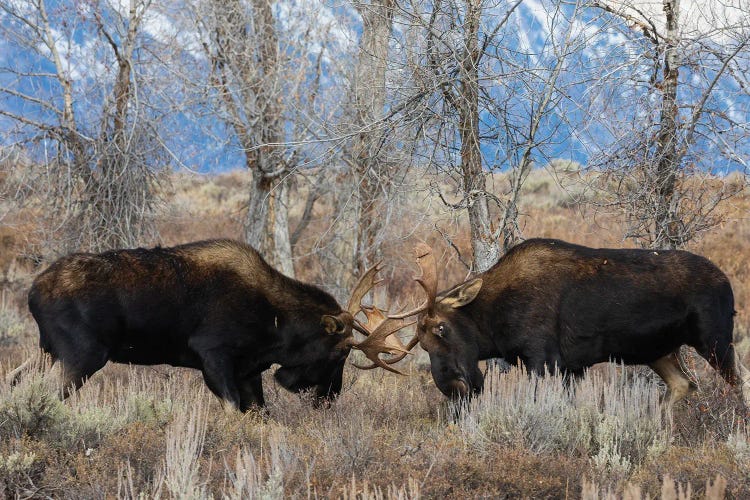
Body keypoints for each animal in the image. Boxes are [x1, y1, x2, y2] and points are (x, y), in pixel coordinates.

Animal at [13, 238, 412, 410]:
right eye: (340, 353)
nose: (330, 398)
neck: (277, 327)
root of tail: (32, 292)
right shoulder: (213, 356)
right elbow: (234, 407)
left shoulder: (249, 370)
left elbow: (259, 411)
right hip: (82, 355)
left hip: (47, 351)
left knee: (16, 378)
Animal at [390, 238, 750, 406]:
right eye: (421, 346)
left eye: (442, 328)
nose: (454, 387)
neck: (494, 324)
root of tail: (726, 280)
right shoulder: (572, 368)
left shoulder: (544, 360)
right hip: (659, 351)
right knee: (683, 385)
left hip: (714, 338)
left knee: (741, 380)